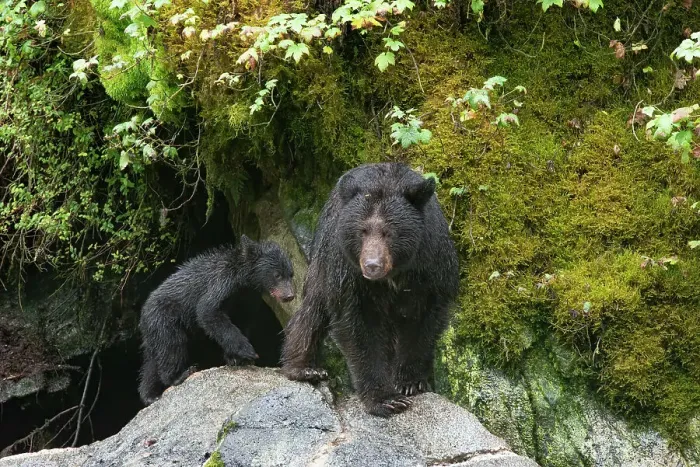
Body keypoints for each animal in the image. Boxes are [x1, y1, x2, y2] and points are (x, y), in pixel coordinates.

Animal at [138, 235, 295, 406]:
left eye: (291, 274)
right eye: (277, 274)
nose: (289, 296)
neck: (243, 280)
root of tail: (143, 314)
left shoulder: (249, 297)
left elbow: (242, 320)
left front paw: (236, 359)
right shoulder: (222, 282)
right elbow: (208, 311)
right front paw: (247, 352)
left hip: (155, 331)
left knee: (153, 361)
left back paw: (150, 394)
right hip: (165, 319)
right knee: (172, 347)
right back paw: (179, 375)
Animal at [281, 162, 459, 417]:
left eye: (389, 231)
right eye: (362, 230)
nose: (372, 265)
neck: (396, 273)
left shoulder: (432, 267)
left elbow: (424, 323)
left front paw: (410, 382)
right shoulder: (349, 274)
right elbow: (359, 329)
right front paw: (385, 399)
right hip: (323, 256)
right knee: (313, 308)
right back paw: (304, 368)